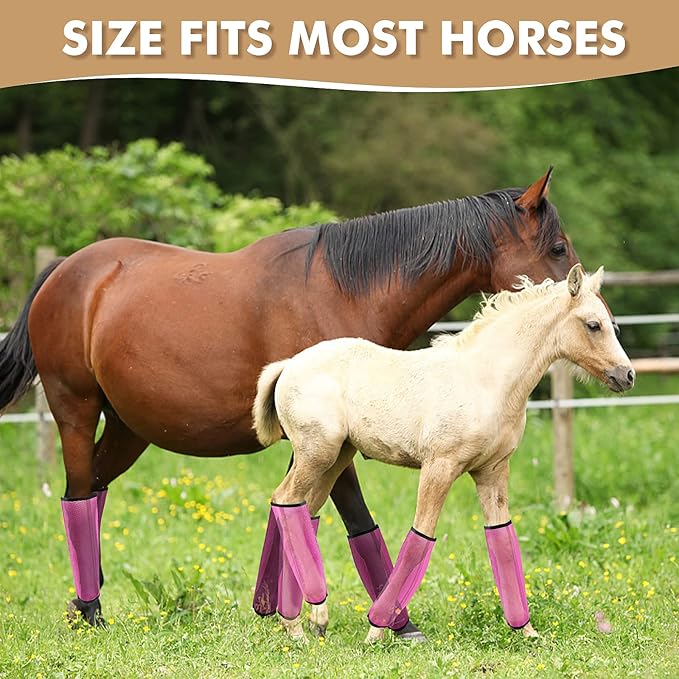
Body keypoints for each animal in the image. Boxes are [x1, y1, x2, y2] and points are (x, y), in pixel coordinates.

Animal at [0, 168, 581, 633]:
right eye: (557, 248)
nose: (586, 299)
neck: (343, 292)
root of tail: (65, 271)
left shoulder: (322, 441)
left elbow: (301, 515)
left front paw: (276, 608)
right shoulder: (333, 440)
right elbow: (354, 518)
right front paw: (394, 622)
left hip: (129, 428)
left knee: (94, 490)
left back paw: (85, 601)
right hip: (76, 411)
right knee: (77, 496)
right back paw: (91, 611)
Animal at [252, 264, 634, 643]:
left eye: (611, 323)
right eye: (593, 325)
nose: (627, 375)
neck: (485, 381)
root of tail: (288, 364)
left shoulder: (493, 471)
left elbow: (502, 538)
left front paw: (526, 630)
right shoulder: (440, 466)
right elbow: (421, 536)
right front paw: (378, 628)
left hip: (336, 458)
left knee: (304, 510)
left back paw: (306, 618)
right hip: (317, 453)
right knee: (284, 499)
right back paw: (296, 624)